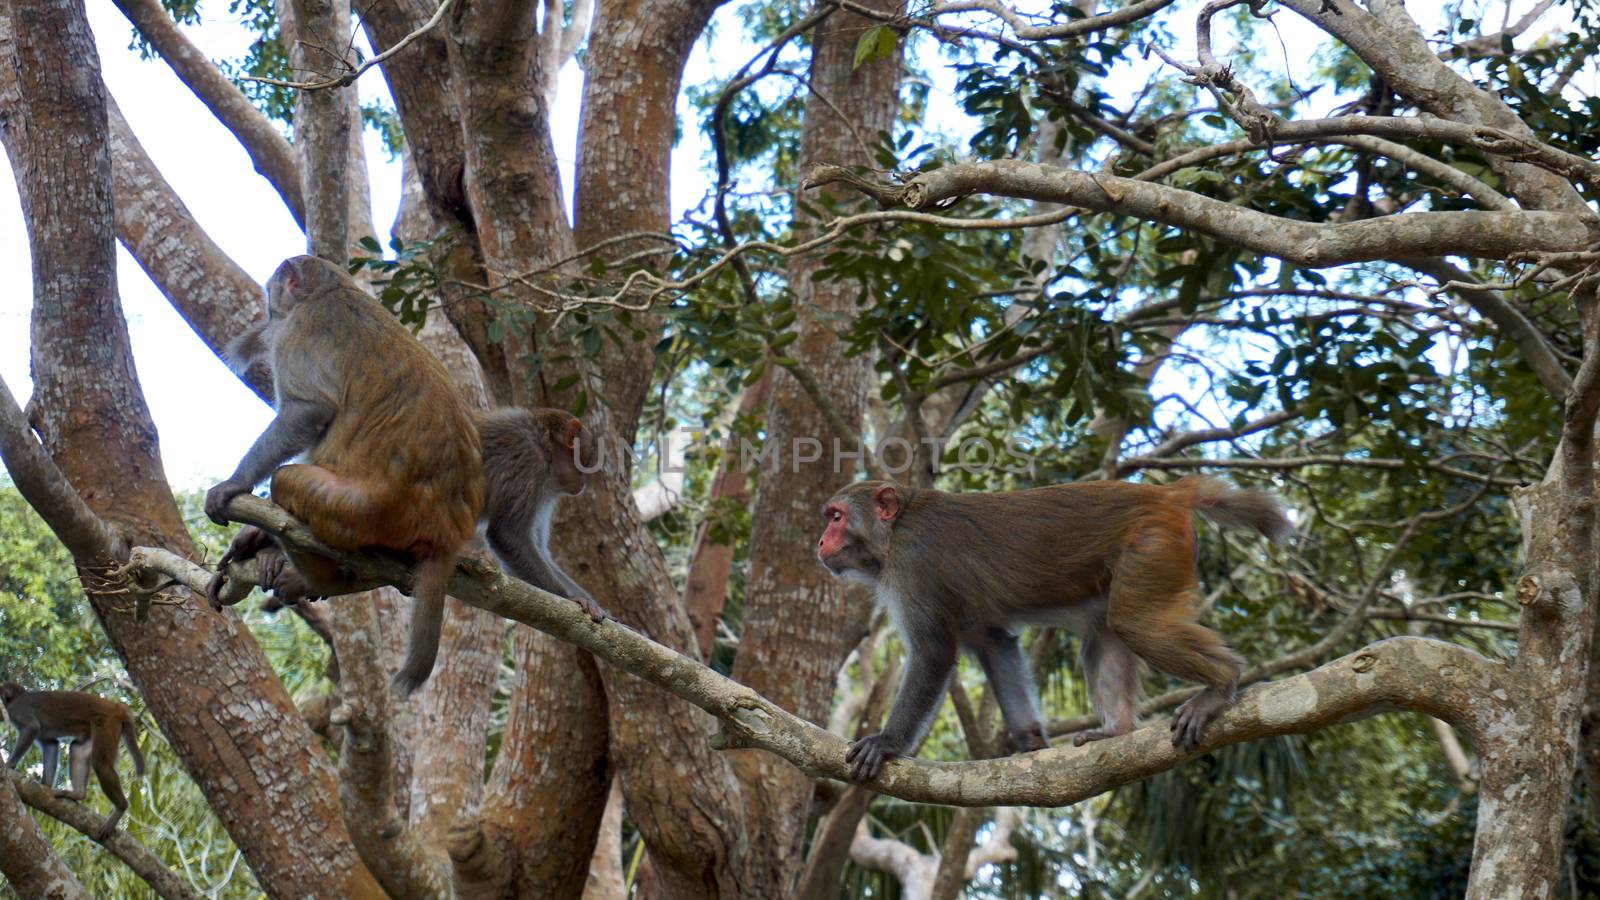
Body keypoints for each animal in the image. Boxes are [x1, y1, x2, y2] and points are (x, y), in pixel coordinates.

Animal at [1, 682, 146, 839]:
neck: (18, 696)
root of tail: (117, 707)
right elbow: (51, 744)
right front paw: (46, 785)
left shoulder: (17, 709)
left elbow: (31, 728)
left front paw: (9, 765)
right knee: (78, 749)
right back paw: (78, 794)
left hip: (107, 723)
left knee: (101, 764)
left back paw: (121, 807)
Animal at [819, 477, 1292, 778]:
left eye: (836, 517)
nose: (820, 541)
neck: (895, 530)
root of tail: (1166, 492)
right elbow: (992, 642)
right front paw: (1031, 743)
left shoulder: (916, 568)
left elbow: (934, 653)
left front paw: (887, 743)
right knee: (1106, 633)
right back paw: (1116, 730)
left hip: (1152, 544)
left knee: (1135, 624)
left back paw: (1220, 684)